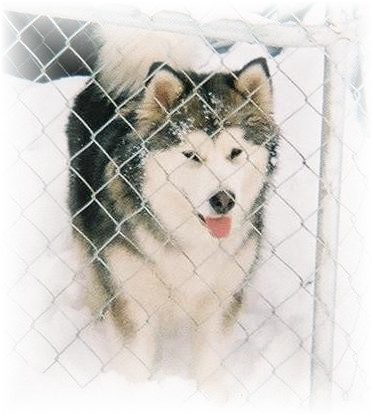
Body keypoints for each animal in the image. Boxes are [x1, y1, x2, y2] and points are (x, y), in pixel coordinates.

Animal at [65, 26, 278, 390]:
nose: (223, 200)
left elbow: (210, 364)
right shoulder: (132, 296)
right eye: (191, 155)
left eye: (235, 153)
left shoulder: (222, 297)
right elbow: (134, 363)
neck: (190, 240)